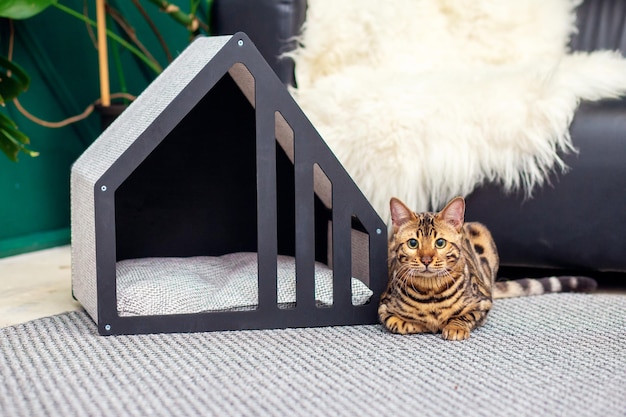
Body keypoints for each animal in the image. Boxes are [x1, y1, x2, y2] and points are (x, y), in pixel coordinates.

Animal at [378, 197, 596, 340]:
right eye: (413, 243)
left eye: (440, 243)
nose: (426, 259)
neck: (431, 292)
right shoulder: (383, 306)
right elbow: (397, 323)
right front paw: (418, 324)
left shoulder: (482, 302)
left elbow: (464, 316)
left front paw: (454, 327)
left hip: (482, 233)